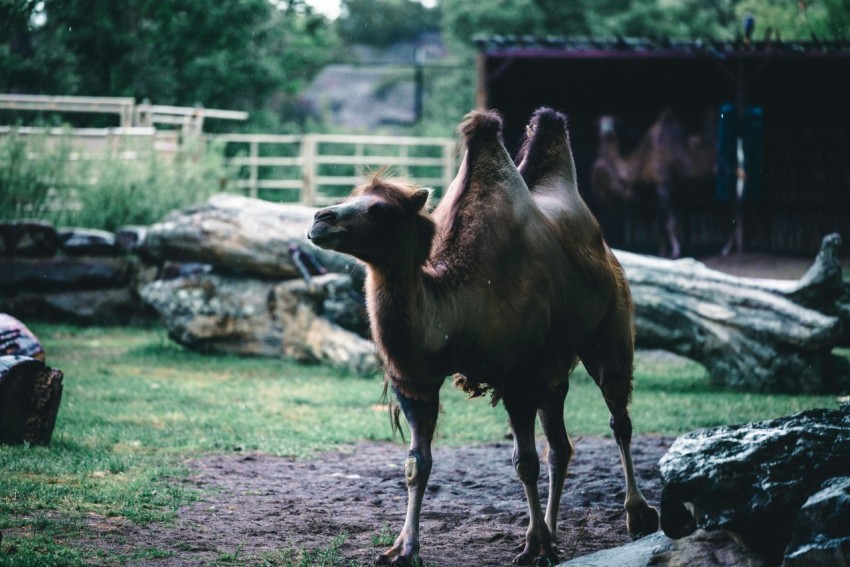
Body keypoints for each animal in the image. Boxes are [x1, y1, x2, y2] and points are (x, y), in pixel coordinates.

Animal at [308, 108, 660, 564]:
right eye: (354, 196)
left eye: (379, 208)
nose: (320, 218)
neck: (458, 304)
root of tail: (605, 250)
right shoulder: (417, 380)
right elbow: (416, 463)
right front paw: (403, 548)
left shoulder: (518, 375)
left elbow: (524, 461)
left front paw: (533, 547)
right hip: (554, 364)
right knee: (561, 446)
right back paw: (555, 533)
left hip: (610, 332)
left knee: (619, 419)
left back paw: (636, 515)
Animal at [588, 108, 716, 260]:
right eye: (600, 123)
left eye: (613, 122)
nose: (606, 130)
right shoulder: (654, 192)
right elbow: (660, 225)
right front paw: (662, 252)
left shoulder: (663, 186)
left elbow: (670, 222)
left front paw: (675, 252)